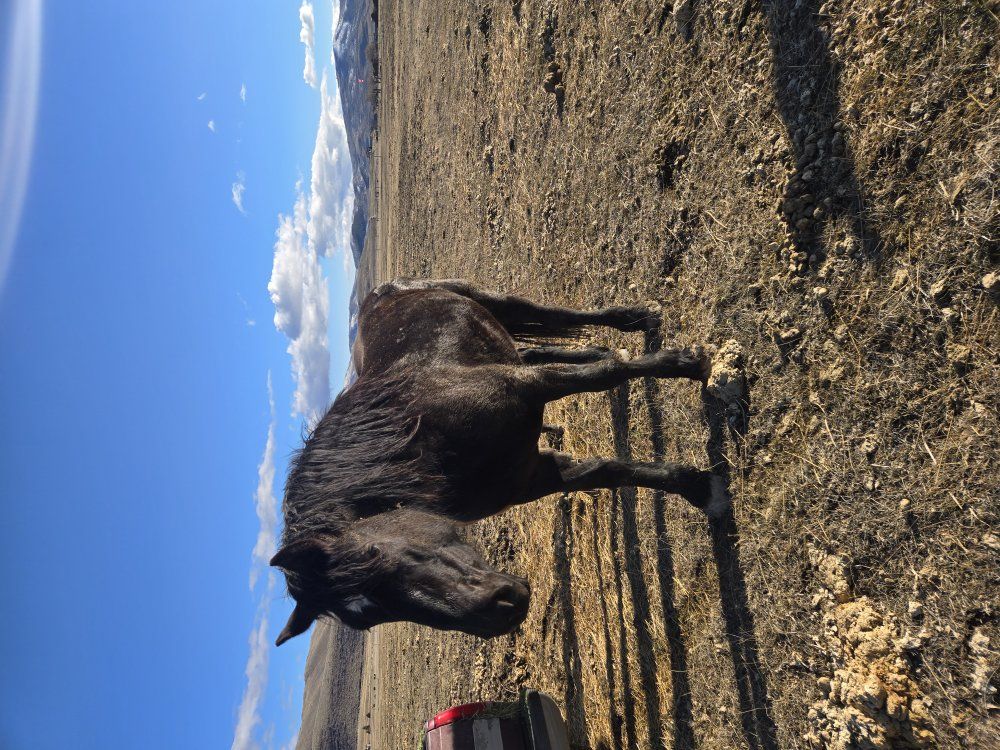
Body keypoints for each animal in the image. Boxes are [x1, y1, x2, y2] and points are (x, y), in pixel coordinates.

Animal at [270, 279, 728, 645]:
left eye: (376, 555)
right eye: (371, 617)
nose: (499, 612)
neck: (424, 430)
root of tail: (379, 295)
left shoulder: (527, 387)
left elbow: (609, 375)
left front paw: (693, 363)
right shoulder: (534, 476)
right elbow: (611, 472)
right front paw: (700, 488)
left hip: (497, 303)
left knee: (551, 317)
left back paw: (637, 321)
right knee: (536, 350)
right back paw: (602, 345)